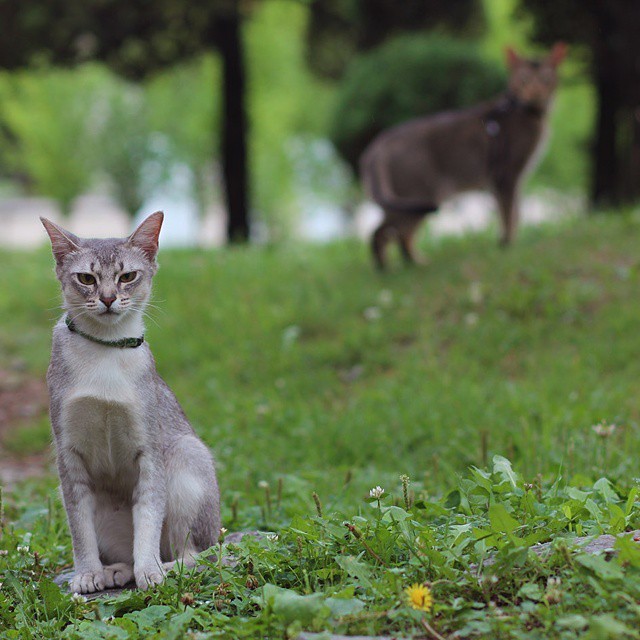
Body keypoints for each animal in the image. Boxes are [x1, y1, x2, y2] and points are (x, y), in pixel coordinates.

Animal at [40, 212, 220, 592]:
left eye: (127, 276)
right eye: (87, 278)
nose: (108, 298)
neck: (106, 351)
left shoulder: (149, 450)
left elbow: (148, 520)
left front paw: (149, 571)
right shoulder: (68, 455)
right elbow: (79, 530)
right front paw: (87, 573)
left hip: (185, 457)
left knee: (196, 554)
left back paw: (164, 567)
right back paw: (117, 571)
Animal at [362, 42, 568, 268]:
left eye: (546, 79)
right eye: (523, 79)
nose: (535, 92)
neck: (524, 109)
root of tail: (378, 145)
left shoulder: (513, 181)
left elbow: (515, 212)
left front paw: (508, 244)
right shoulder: (505, 176)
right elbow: (509, 214)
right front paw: (508, 247)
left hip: (406, 203)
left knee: (396, 234)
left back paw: (412, 263)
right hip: (419, 196)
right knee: (382, 233)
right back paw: (390, 268)